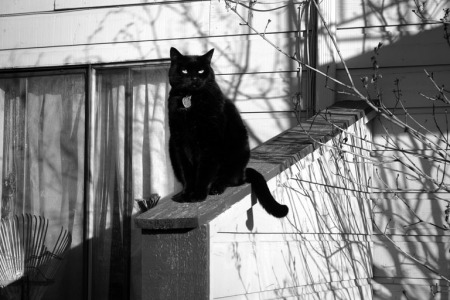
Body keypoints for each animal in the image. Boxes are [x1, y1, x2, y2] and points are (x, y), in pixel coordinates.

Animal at [166, 48, 288, 219]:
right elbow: (186, 172)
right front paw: (186, 194)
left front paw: (198, 195)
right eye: (184, 70)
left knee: (231, 179)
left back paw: (216, 187)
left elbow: (204, 171)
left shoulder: (209, 141)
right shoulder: (179, 142)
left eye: (201, 70)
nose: (194, 78)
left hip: (237, 150)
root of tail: (244, 171)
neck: (191, 101)